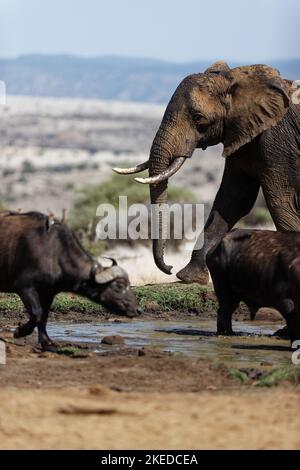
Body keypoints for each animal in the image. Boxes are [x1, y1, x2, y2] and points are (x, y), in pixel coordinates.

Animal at [0, 211, 141, 346]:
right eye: (119, 286)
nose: (139, 310)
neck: (54, 253)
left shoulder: (49, 292)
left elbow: (44, 316)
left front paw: (46, 341)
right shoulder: (25, 288)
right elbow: (37, 314)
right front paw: (19, 332)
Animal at [113, 62, 298, 282]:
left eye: (198, 118)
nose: (169, 267)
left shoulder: (278, 140)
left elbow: (281, 202)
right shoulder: (240, 135)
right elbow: (232, 200)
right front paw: (190, 277)